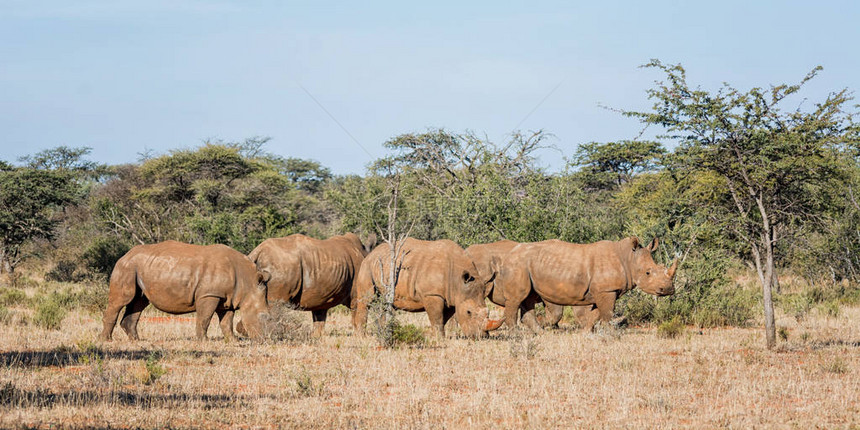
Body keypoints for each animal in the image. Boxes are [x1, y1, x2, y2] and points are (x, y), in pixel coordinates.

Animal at [98, 240, 266, 340]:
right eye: (264, 317)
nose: (265, 339)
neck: (247, 280)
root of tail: (124, 255)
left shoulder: (227, 298)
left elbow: (226, 321)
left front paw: (232, 341)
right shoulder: (209, 295)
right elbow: (205, 318)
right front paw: (203, 341)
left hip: (138, 267)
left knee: (139, 302)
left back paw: (136, 341)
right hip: (126, 267)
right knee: (122, 300)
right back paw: (106, 340)